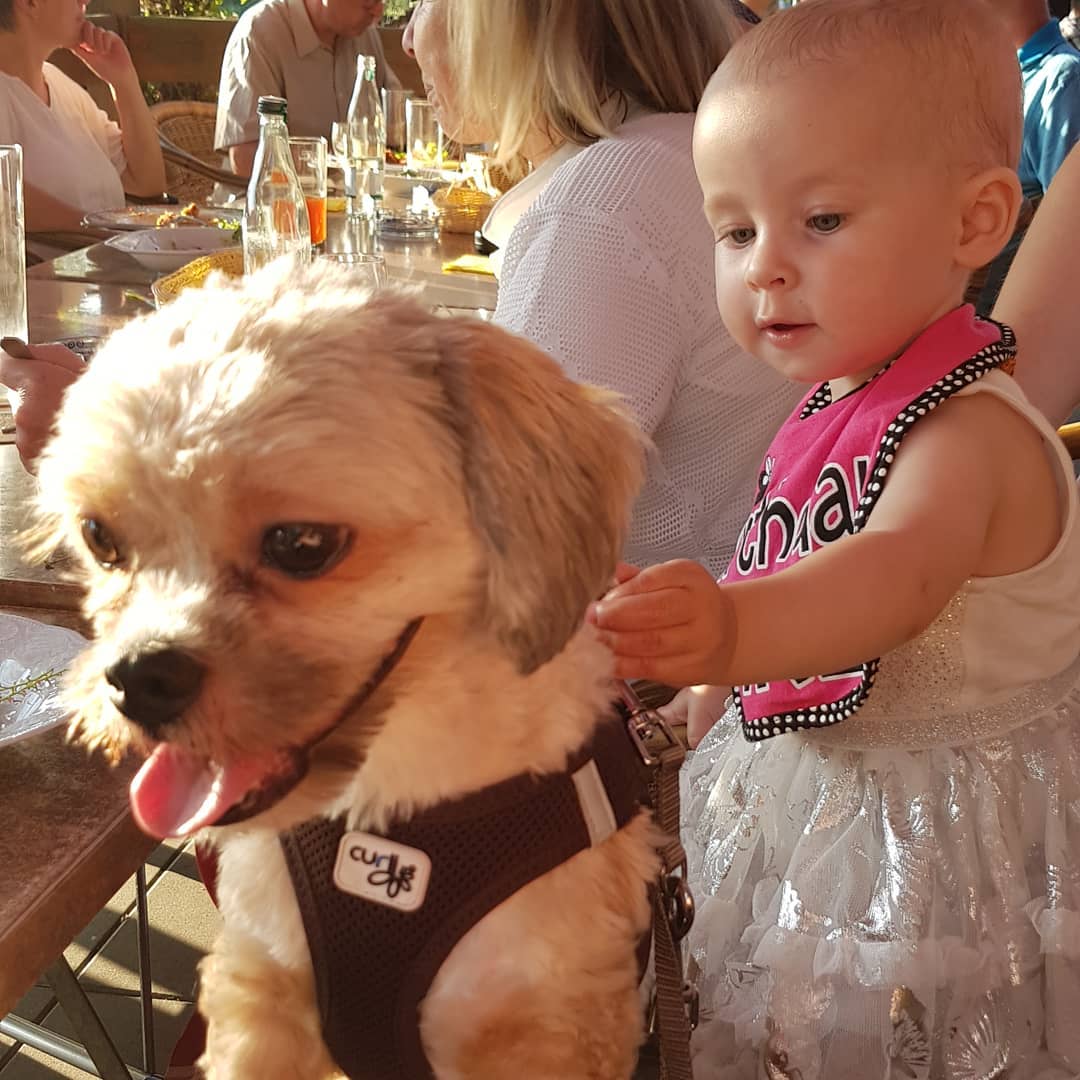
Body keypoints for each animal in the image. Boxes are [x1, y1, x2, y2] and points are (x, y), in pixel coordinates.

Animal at [31, 263, 656, 1080]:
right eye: (100, 538)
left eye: (301, 543)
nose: (139, 679)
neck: (396, 816)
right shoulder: (261, 986)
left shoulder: (539, 1025)